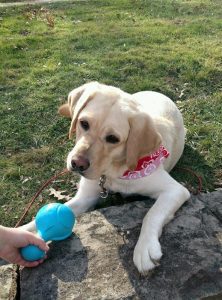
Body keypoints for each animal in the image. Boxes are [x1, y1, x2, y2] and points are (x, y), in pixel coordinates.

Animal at [24, 82, 190, 274]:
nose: (77, 163)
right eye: (84, 123)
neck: (113, 173)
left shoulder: (175, 190)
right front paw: (21, 234)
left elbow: (152, 214)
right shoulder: (85, 198)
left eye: (113, 138)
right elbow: (34, 223)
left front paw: (145, 248)